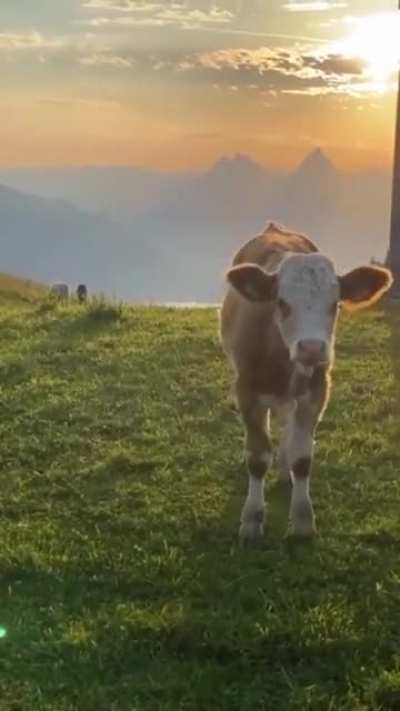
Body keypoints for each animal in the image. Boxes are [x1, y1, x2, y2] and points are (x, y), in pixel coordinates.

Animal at [220, 223, 392, 543]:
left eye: (335, 305)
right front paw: (251, 520)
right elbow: (257, 457)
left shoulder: (316, 392)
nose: (311, 347)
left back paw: (283, 466)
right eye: (282, 302)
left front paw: (302, 521)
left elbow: (303, 458)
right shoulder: (246, 390)